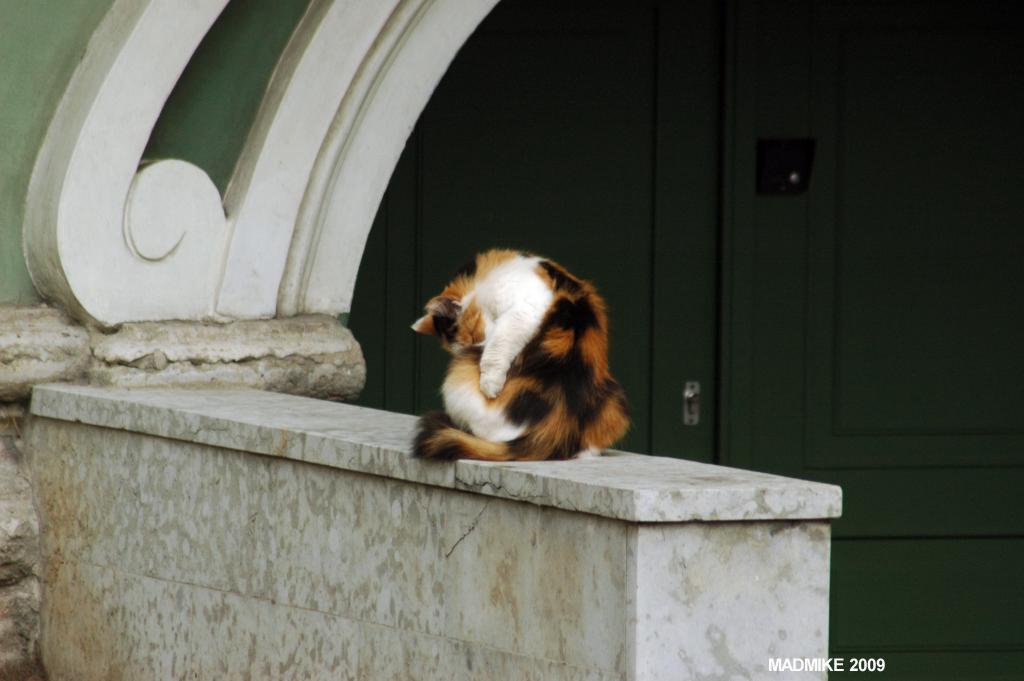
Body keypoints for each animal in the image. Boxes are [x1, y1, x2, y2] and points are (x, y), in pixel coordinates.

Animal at [411, 249, 629, 461]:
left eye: (473, 336)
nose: (476, 347)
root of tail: (553, 431)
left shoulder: (523, 310)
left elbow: (498, 345)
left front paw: (490, 384)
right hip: (615, 401)